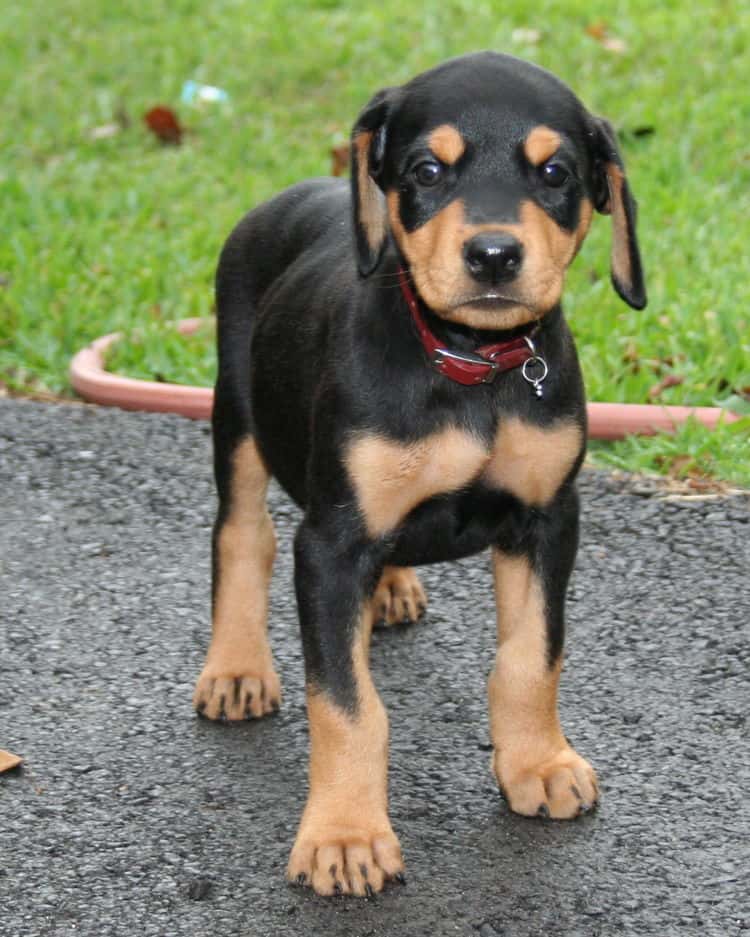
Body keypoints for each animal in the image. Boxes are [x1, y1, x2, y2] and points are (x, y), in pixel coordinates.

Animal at [192, 53, 648, 900]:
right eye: (427, 170)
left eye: (557, 172)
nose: (494, 255)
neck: (471, 366)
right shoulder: (331, 543)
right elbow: (346, 704)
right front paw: (345, 836)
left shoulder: (548, 519)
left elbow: (531, 658)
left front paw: (536, 762)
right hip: (235, 409)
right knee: (242, 533)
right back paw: (237, 667)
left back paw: (392, 589)